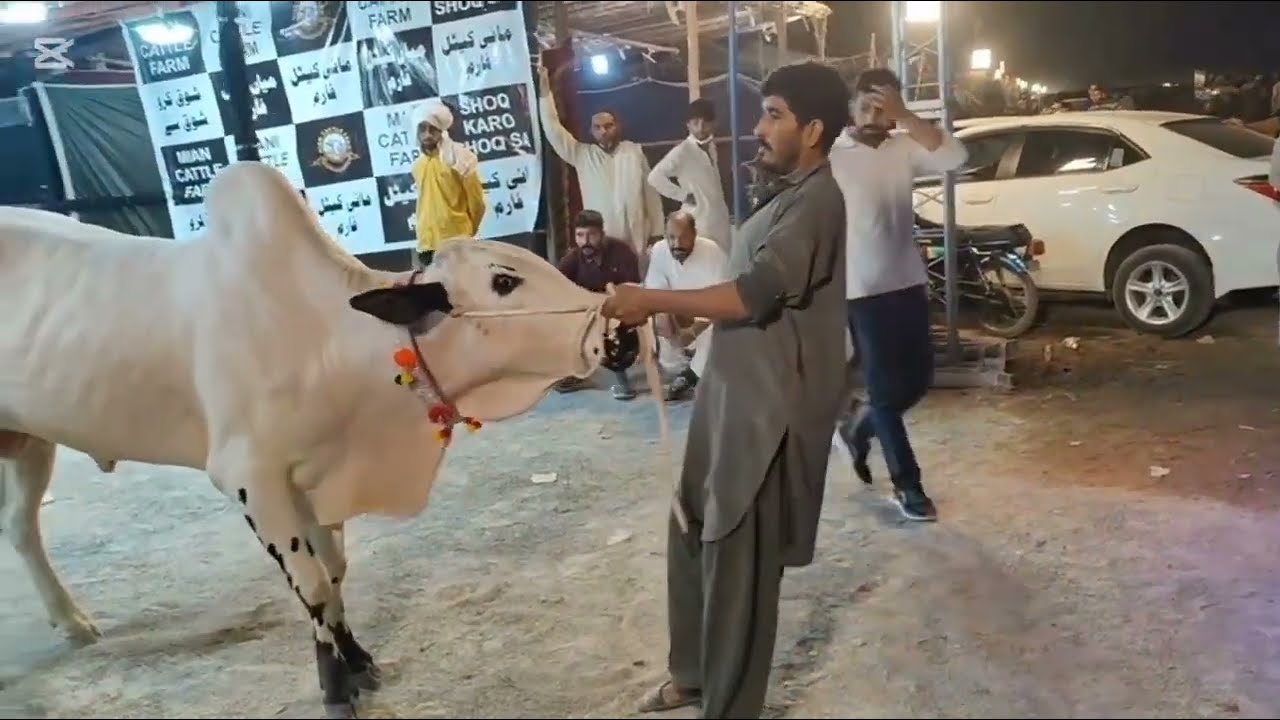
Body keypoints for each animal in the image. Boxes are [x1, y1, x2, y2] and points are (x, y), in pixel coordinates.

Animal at [0, 160, 642, 718]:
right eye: (504, 281)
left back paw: (71, 621)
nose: (620, 332)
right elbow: (309, 583)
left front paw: (357, 659)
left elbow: (333, 572)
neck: (329, 339)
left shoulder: (318, 479)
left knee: (21, 527)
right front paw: (335, 687)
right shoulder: (252, 478)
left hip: (29, 441)